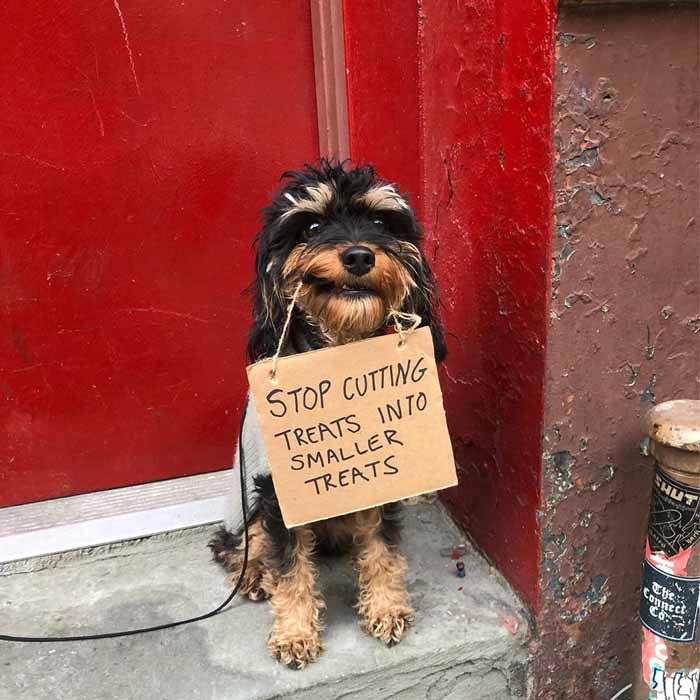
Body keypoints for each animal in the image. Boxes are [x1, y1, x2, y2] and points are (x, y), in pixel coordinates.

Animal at [211, 160, 446, 668]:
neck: (340, 354)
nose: (358, 256)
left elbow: (381, 548)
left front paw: (386, 608)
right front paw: (295, 634)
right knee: (240, 544)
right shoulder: (280, 492)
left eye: (379, 222)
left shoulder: (382, 474)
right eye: (313, 227)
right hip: (247, 504)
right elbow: (289, 567)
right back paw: (253, 575)